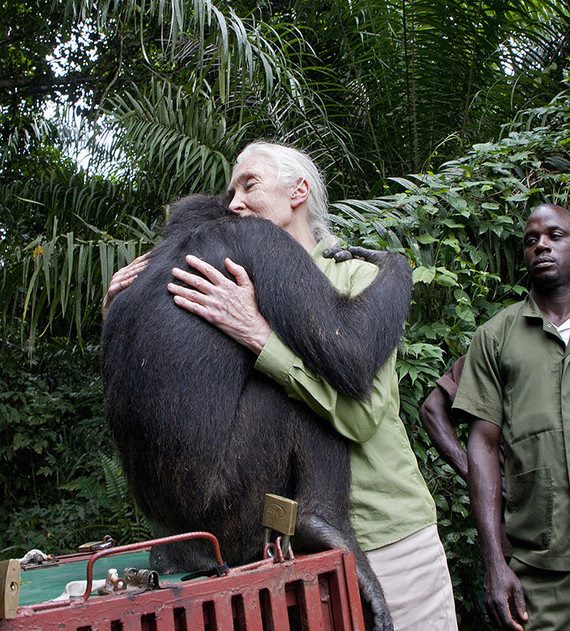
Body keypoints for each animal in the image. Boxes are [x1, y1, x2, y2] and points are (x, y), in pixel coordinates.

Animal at [102, 195, 410, 628]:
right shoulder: (262, 241)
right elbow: (348, 343)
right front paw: (388, 259)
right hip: (236, 506)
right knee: (294, 398)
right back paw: (325, 527)